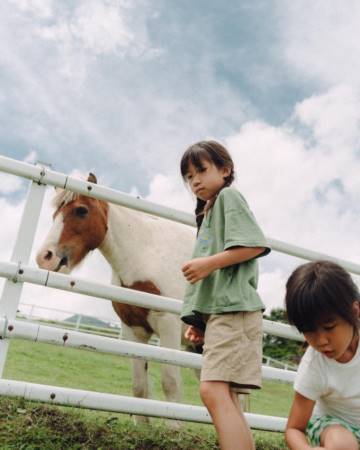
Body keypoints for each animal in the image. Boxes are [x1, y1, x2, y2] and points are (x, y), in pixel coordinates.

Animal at [35, 174, 195, 428]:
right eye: (55, 214)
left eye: (81, 210)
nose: (45, 257)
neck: (145, 255)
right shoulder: (133, 329)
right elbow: (139, 387)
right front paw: (144, 429)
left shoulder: (168, 326)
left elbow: (170, 382)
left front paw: (174, 431)